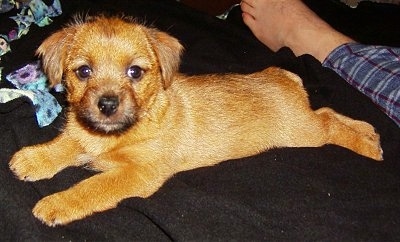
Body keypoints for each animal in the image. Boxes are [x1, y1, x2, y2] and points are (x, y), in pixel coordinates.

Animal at [9, 16, 382, 226]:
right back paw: (369, 132)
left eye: (135, 72)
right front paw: (33, 158)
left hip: (301, 133)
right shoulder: (83, 135)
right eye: (83, 71)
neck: (115, 136)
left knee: (329, 124)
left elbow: (91, 188)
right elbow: (63, 145)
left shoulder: (138, 174)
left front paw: (57, 204)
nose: (107, 105)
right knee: (327, 112)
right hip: (304, 122)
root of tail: (284, 75)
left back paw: (367, 145)